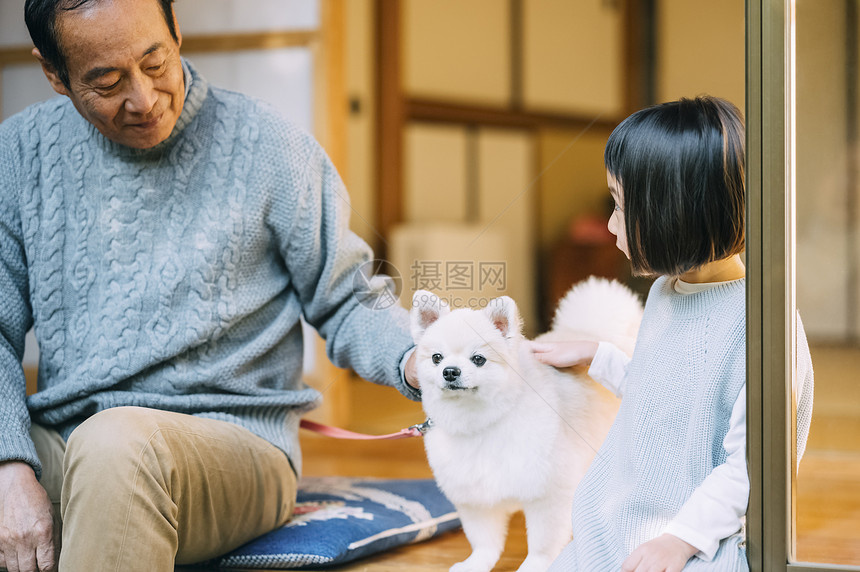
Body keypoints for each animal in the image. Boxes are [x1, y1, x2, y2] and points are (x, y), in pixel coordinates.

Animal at [414, 278, 640, 572]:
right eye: (436, 358)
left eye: (478, 359)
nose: (450, 371)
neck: (483, 421)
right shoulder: (475, 496)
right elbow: (485, 542)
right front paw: (475, 563)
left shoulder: (548, 492)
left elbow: (542, 545)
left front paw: (534, 565)